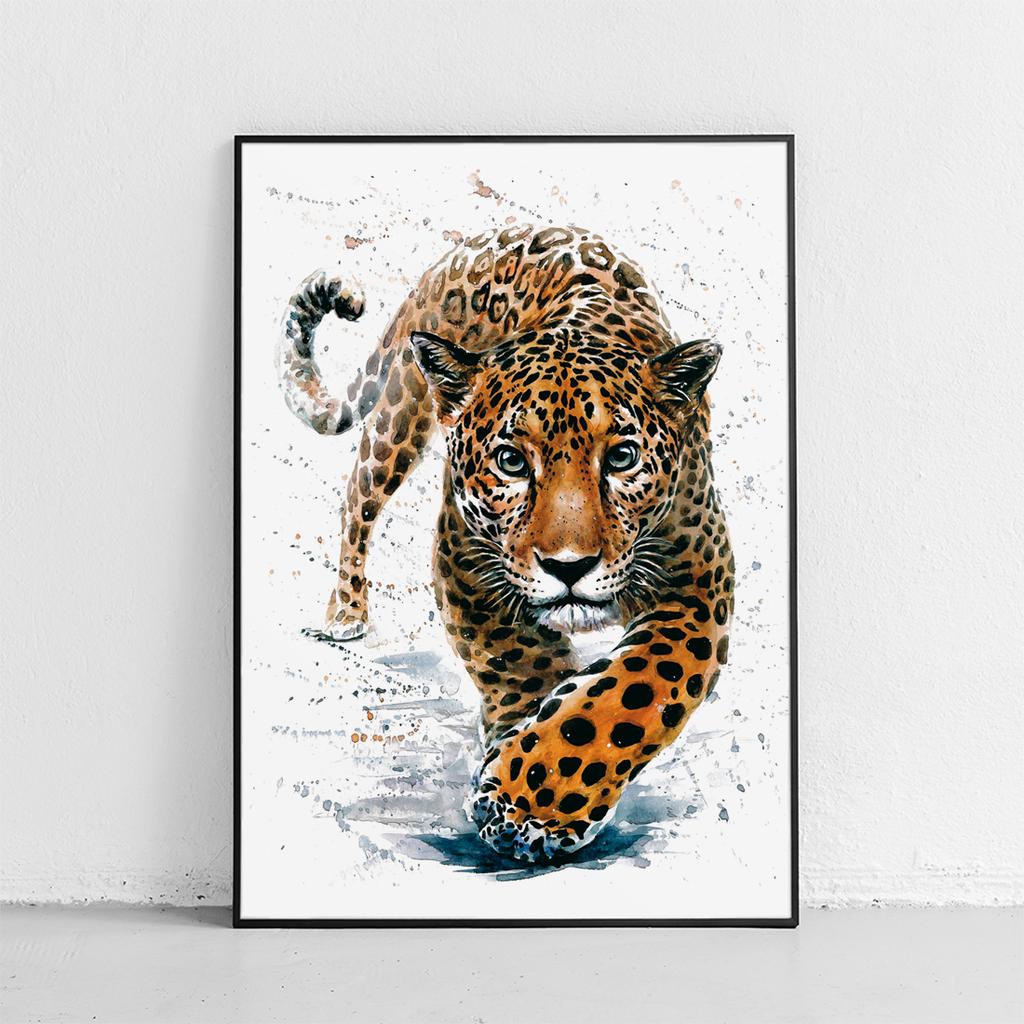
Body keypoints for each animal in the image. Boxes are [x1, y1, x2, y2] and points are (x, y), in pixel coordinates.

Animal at [277, 223, 734, 864]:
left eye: (622, 457)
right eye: (512, 462)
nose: (569, 566)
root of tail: (478, 239)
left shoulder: (697, 588)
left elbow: (630, 692)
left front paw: (533, 800)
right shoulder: (466, 564)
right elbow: (521, 664)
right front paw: (523, 785)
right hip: (400, 414)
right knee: (356, 498)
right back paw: (346, 610)